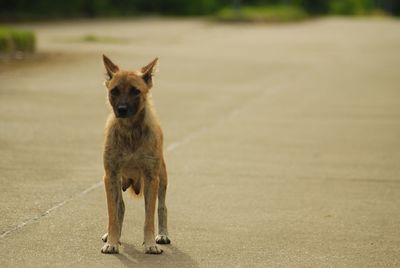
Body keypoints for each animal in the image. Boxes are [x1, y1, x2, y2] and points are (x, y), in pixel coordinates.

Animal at [101, 54, 170, 253]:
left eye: (135, 91)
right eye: (114, 91)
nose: (122, 110)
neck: (130, 132)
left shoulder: (152, 178)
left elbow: (149, 217)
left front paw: (150, 243)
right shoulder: (110, 176)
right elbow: (113, 215)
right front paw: (112, 241)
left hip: (162, 178)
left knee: (162, 207)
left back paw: (163, 234)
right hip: (117, 183)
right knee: (120, 208)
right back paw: (113, 236)